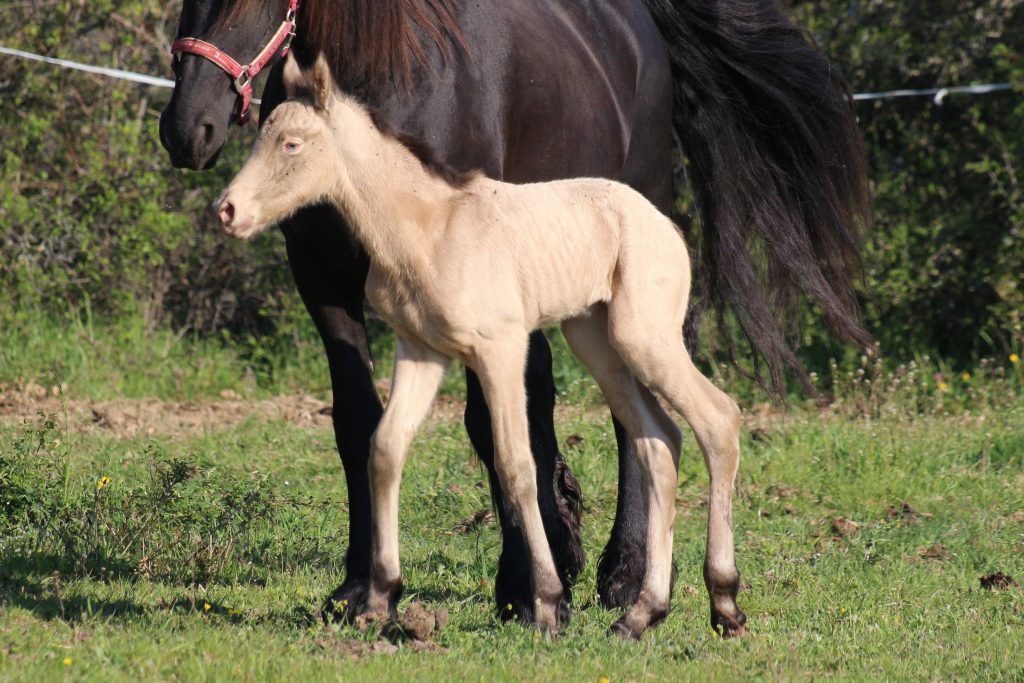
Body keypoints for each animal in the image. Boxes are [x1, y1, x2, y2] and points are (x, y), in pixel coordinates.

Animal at [216, 56, 745, 638]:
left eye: (291, 144)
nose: (228, 210)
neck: (424, 229)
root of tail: (667, 226)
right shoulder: (419, 350)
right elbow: (386, 449)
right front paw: (380, 598)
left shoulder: (501, 349)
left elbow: (516, 465)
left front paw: (545, 602)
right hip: (597, 343)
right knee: (660, 443)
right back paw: (642, 613)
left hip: (644, 336)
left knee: (718, 418)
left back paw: (725, 603)